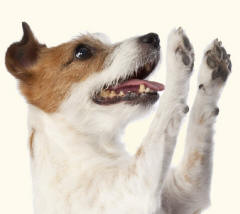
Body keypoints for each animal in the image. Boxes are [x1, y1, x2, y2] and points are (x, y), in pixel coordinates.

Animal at [5, 22, 231, 213]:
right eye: (82, 52)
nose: (153, 37)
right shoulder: (138, 187)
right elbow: (166, 111)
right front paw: (177, 55)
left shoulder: (189, 190)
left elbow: (197, 125)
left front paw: (211, 73)